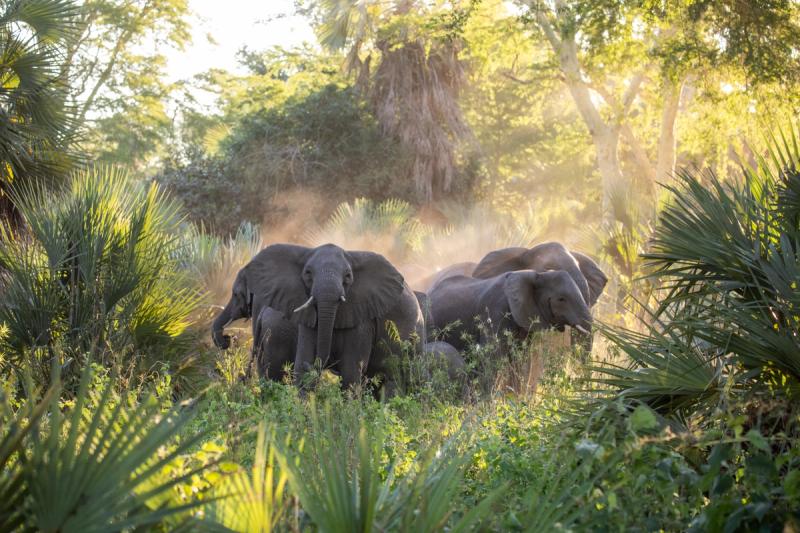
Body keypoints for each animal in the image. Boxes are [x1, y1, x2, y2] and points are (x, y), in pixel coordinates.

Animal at [212, 243, 423, 389]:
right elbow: (303, 365)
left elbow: (350, 372)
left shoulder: (362, 317)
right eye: (307, 274)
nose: (227, 339)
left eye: (348, 277)